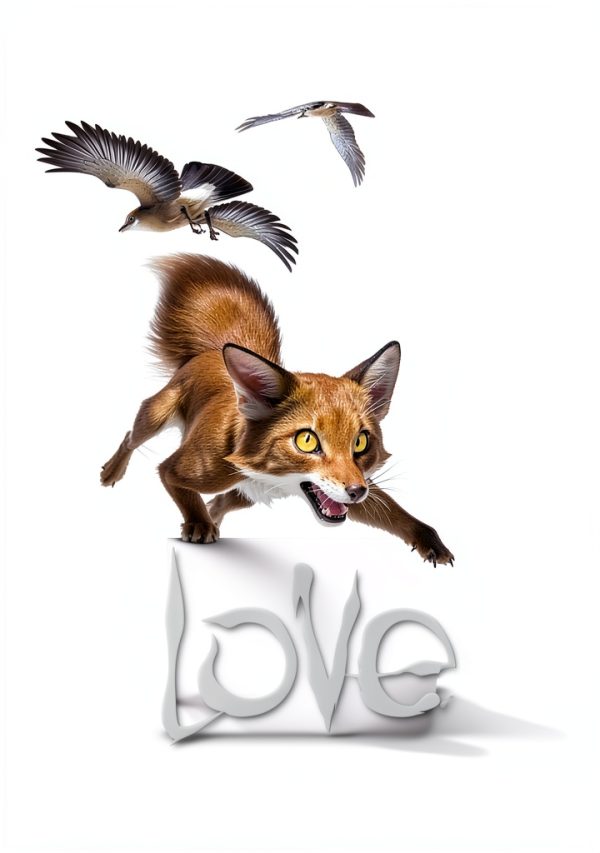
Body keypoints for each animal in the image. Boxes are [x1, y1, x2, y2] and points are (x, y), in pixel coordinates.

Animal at [101, 254, 454, 566]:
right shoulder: (181, 470)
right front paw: (198, 524)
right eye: (307, 440)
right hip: (155, 417)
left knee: (222, 500)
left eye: (360, 442)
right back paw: (112, 472)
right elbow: (180, 488)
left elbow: (402, 516)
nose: (356, 491)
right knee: (131, 435)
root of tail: (214, 349)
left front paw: (431, 543)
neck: (271, 476)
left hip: (246, 497)